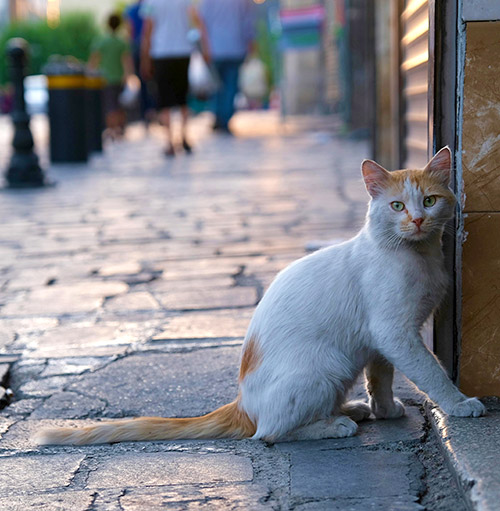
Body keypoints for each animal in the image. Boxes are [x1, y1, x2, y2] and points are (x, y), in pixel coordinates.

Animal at [34, 146, 484, 446]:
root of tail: (242, 405)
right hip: (327, 366)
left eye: (429, 200)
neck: (417, 255)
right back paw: (333, 424)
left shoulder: (380, 340)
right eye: (396, 206)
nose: (419, 219)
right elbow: (430, 373)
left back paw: (349, 408)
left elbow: (381, 377)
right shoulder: (395, 332)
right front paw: (459, 403)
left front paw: (385, 409)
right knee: (270, 433)